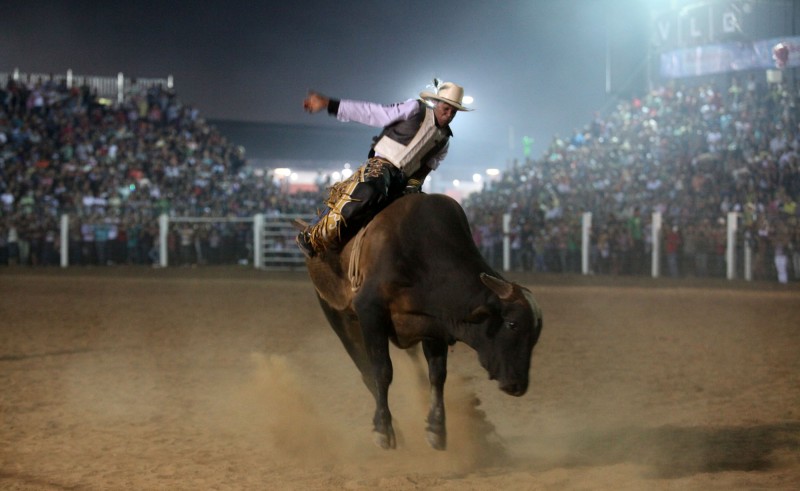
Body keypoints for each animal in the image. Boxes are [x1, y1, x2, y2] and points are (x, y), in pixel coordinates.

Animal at [300, 193, 544, 450]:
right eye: (512, 324)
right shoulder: (370, 312)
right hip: (338, 316)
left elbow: (437, 375)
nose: (518, 385)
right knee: (364, 368)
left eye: (536, 334)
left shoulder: (434, 324)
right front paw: (383, 430)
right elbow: (381, 371)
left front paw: (436, 429)